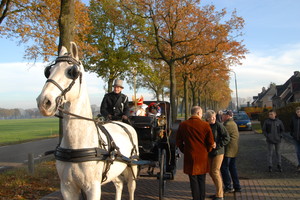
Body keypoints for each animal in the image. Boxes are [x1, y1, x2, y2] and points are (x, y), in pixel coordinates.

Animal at [36, 42, 138, 200]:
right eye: (48, 71)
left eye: (72, 71)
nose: (44, 102)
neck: (76, 145)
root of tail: (122, 123)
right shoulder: (67, 188)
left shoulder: (93, 188)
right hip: (114, 171)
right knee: (119, 184)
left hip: (132, 166)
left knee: (131, 187)